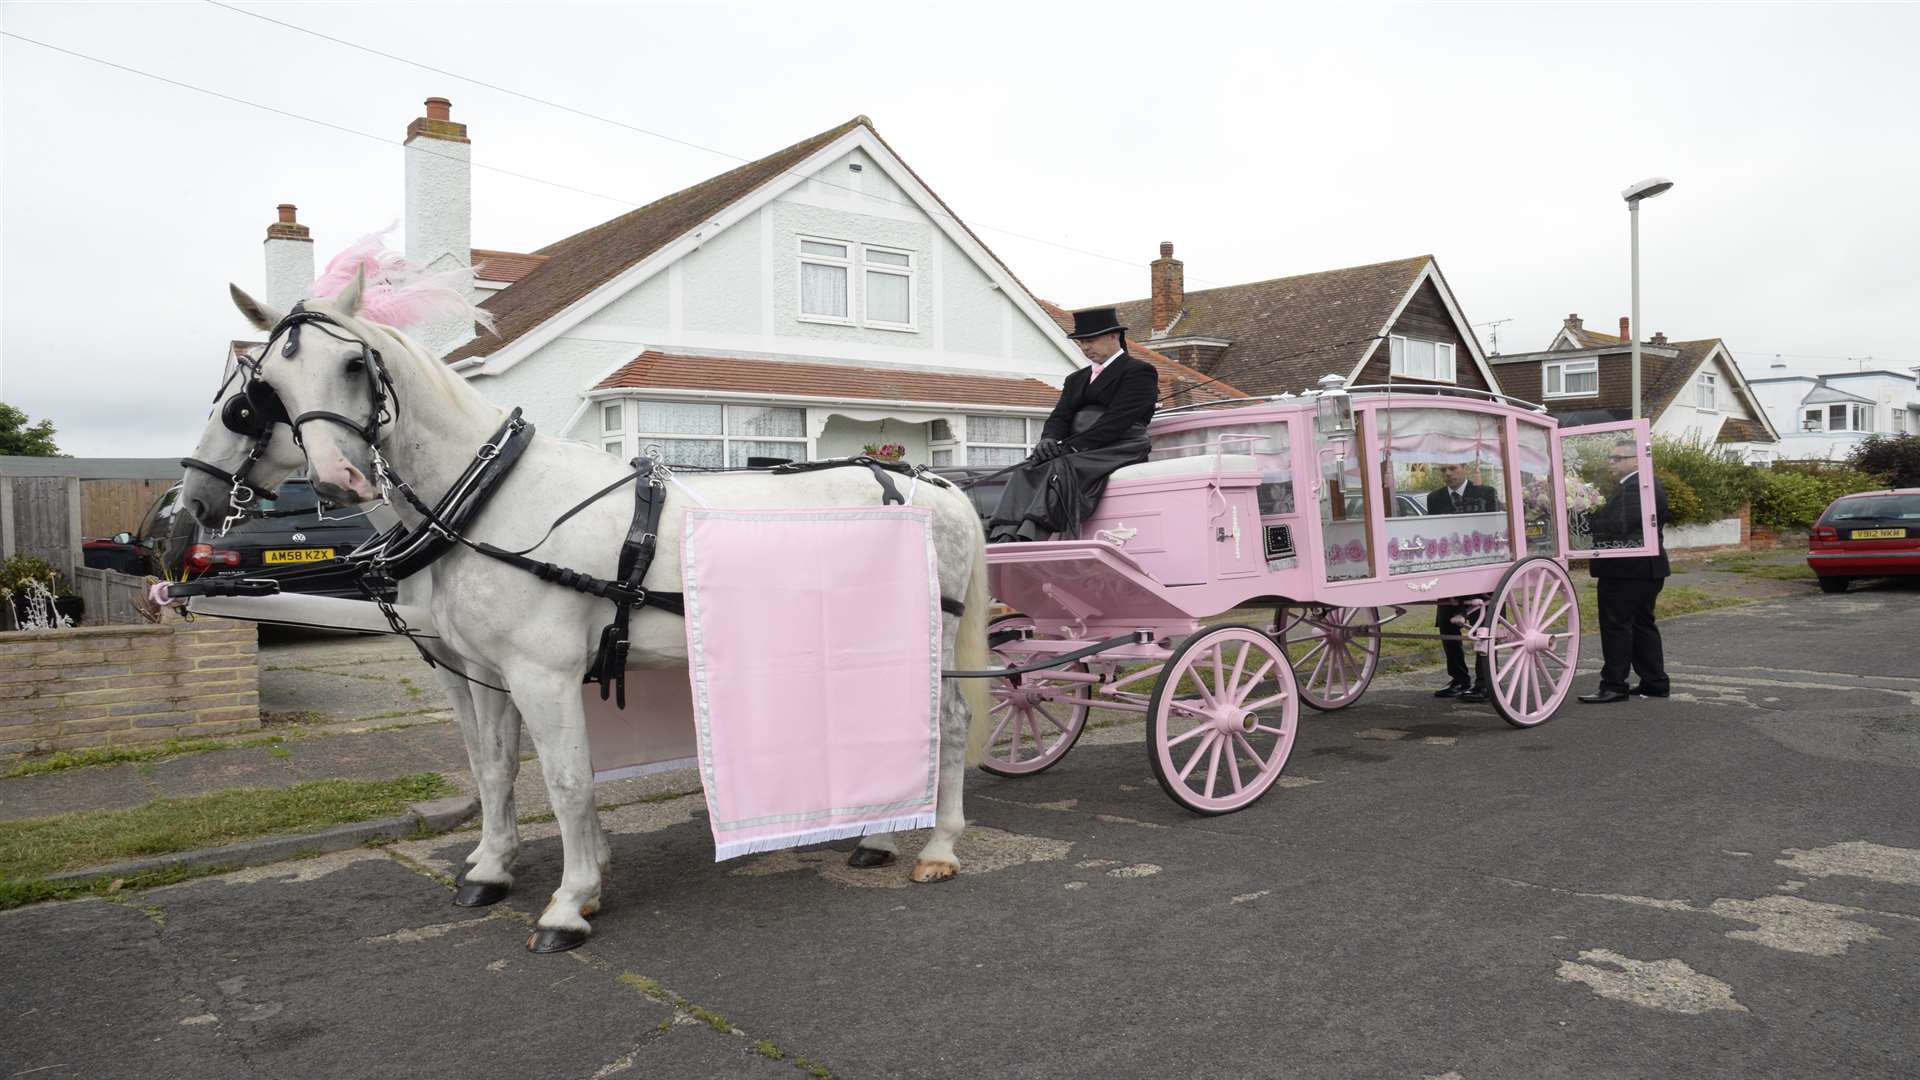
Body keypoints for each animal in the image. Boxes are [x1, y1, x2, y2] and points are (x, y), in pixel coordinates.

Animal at [187, 276, 998, 949]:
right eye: (271, 385)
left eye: (353, 366)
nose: (337, 479)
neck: (493, 499)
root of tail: (936, 486)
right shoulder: (484, 671)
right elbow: (494, 768)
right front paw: (492, 869)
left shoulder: (540, 673)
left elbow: (568, 780)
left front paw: (570, 902)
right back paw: (877, 836)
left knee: (950, 722)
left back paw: (937, 847)